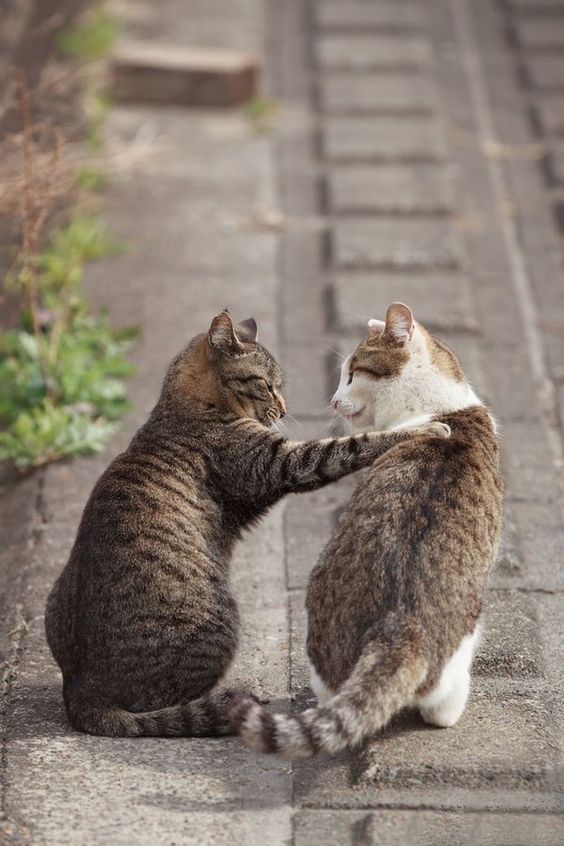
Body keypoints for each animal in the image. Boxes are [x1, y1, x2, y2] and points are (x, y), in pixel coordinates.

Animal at [45, 310, 446, 736]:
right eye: (266, 386)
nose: (284, 410)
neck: (183, 406)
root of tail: (82, 691)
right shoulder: (280, 463)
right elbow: (348, 446)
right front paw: (423, 427)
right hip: (221, 624)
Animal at [231, 302, 504, 760]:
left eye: (352, 373)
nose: (332, 399)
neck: (436, 403)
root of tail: (396, 630)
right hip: (466, 633)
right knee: (435, 707)